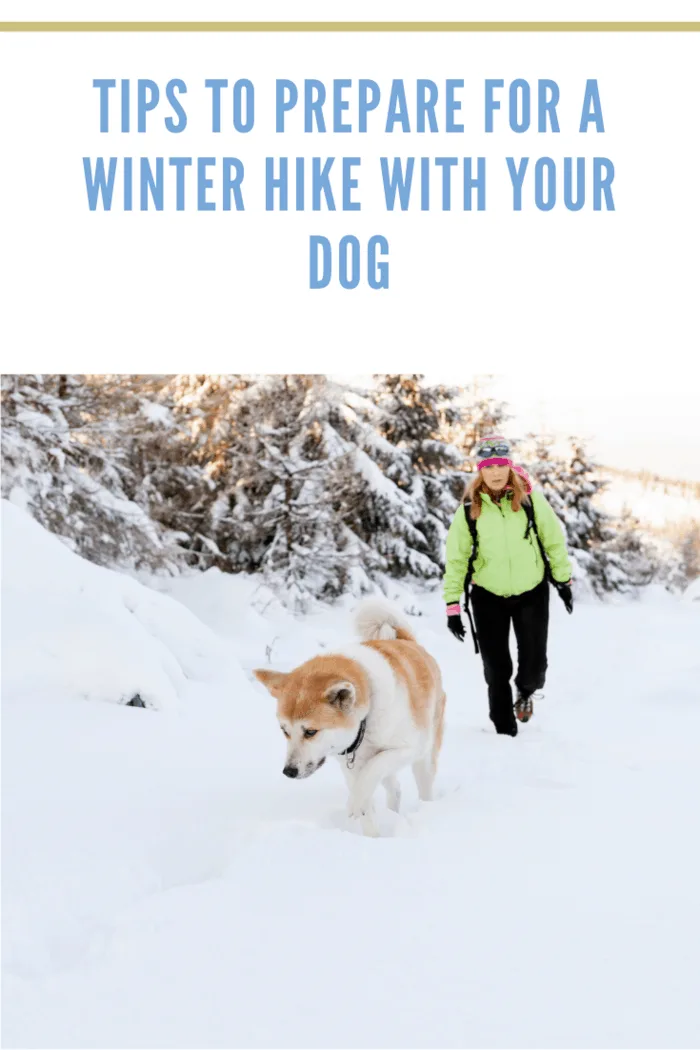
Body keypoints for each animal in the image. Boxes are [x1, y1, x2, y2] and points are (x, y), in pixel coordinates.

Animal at [255, 600, 447, 835]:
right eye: (284, 731)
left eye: (310, 732)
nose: (289, 771)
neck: (367, 718)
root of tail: (406, 640)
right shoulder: (352, 765)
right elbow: (366, 798)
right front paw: (371, 836)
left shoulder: (407, 749)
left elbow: (370, 775)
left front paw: (354, 804)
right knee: (395, 788)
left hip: (424, 757)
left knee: (423, 786)